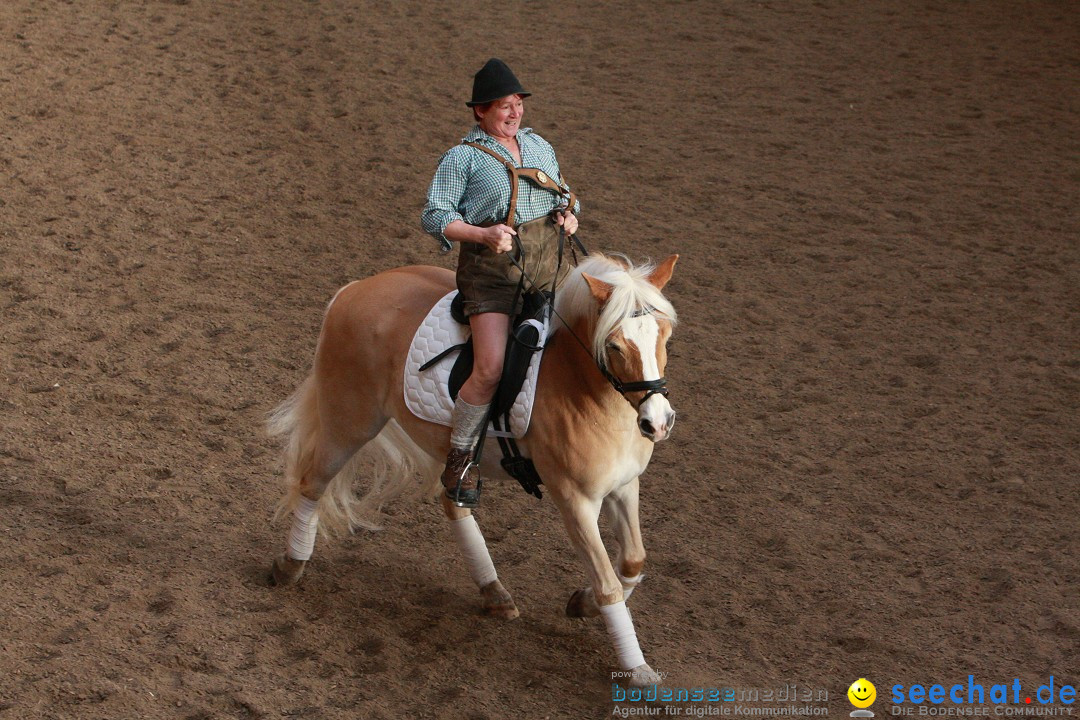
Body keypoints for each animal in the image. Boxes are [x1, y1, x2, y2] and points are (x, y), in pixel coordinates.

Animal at [267, 253, 673, 686]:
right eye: (613, 345)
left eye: (664, 335)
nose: (658, 422)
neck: (587, 392)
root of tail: (356, 289)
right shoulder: (574, 501)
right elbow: (608, 584)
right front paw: (638, 669)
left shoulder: (624, 486)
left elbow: (632, 561)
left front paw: (581, 603)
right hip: (350, 423)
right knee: (313, 484)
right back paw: (290, 567)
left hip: (440, 445)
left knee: (453, 502)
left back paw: (494, 593)